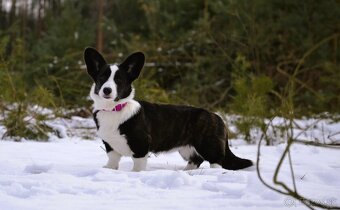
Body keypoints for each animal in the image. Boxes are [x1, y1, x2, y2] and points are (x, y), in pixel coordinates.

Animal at [82, 48, 252, 172]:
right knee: (196, 159)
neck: (113, 109)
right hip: (187, 149)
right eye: (102, 78)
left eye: (119, 80)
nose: (107, 90)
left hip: (209, 146)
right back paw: (186, 172)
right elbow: (112, 161)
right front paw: (108, 170)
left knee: (216, 161)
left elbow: (138, 167)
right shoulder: (110, 147)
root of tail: (217, 116)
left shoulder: (141, 146)